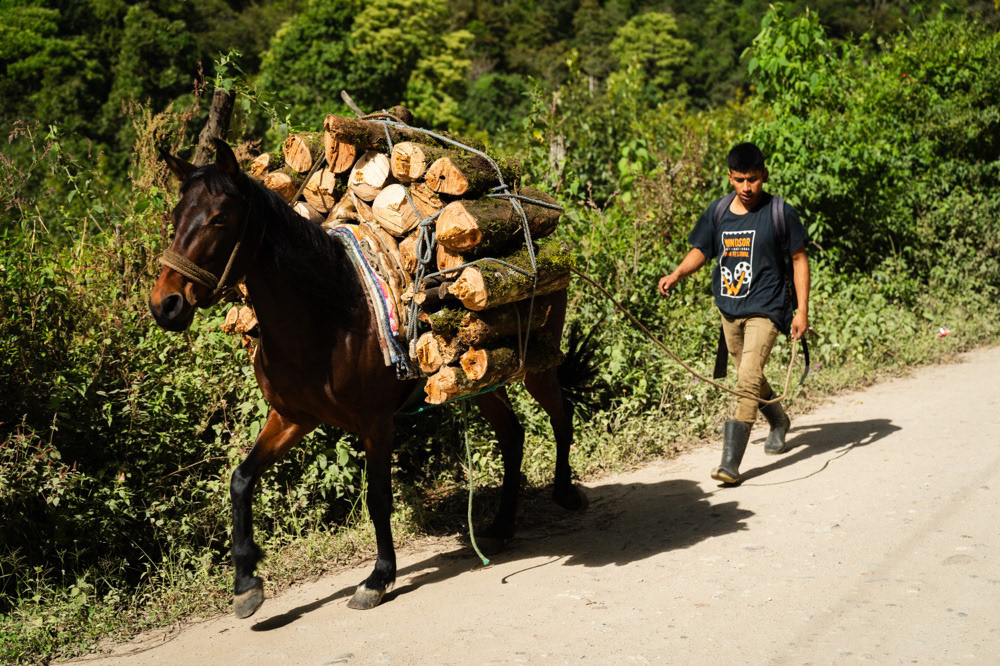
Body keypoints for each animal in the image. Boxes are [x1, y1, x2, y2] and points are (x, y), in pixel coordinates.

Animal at [149, 139, 591, 618]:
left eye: (220, 218)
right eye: (175, 217)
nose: (165, 304)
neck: (326, 318)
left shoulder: (376, 421)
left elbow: (378, 496)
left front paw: (378, 578)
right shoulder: (292, 417)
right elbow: (241, 480)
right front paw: (246, 582)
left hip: (535, 362)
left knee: (560, 415)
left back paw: (565, 493)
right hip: (480, 379)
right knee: (512, 434)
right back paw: (502, 526)